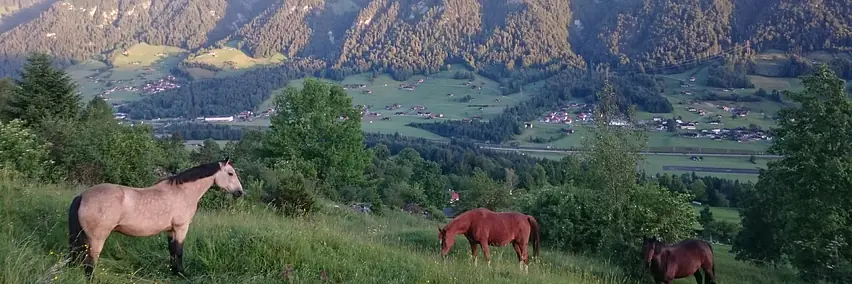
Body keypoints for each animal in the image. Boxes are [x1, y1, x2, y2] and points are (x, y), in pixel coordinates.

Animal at [67, 158, 243, 280]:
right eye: (230, 173)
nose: (240, 192)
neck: (182, 192)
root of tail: (82, 196)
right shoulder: (181, 227)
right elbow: (179, 251)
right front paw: (182, 273)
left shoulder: (171, 230)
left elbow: (172, 250)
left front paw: (174, 271)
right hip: (96, 239)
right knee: (90, 262)